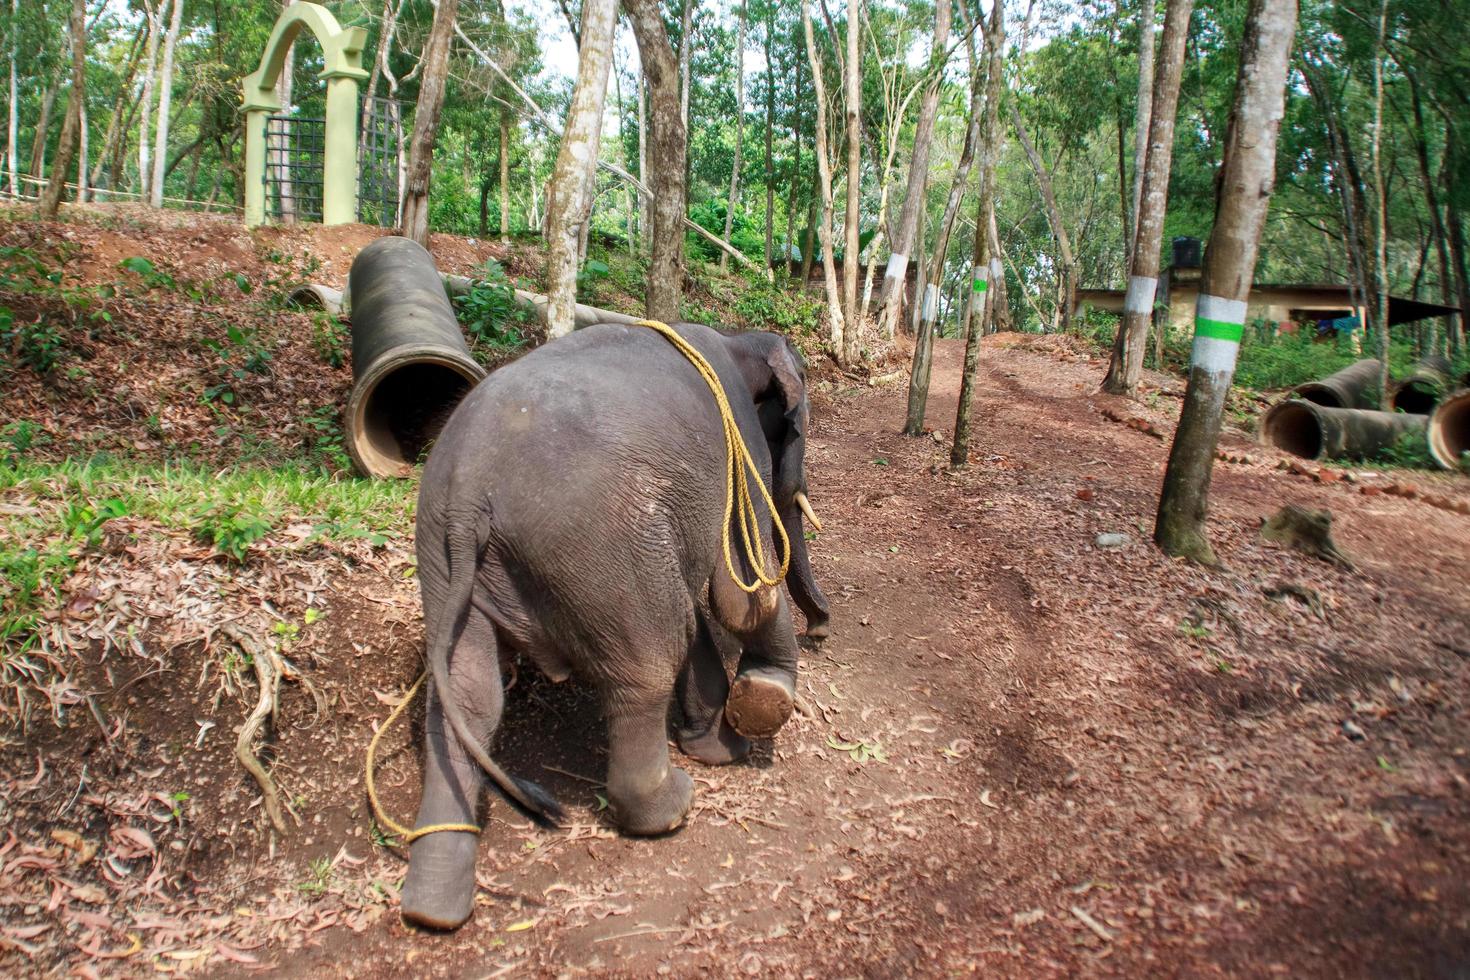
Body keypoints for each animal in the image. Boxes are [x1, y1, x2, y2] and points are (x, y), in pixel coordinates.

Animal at [399, 320, 829, 928]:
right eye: (799, 423)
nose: (822, 629)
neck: (734, 338)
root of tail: (466, 493)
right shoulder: (738, 444)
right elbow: (741, 585)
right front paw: (762, 704)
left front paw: (720, 743)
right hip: (598, 546)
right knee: (647, 665)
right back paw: (672, 807)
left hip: (442, 555)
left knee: (467, 695)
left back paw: (433, 908)